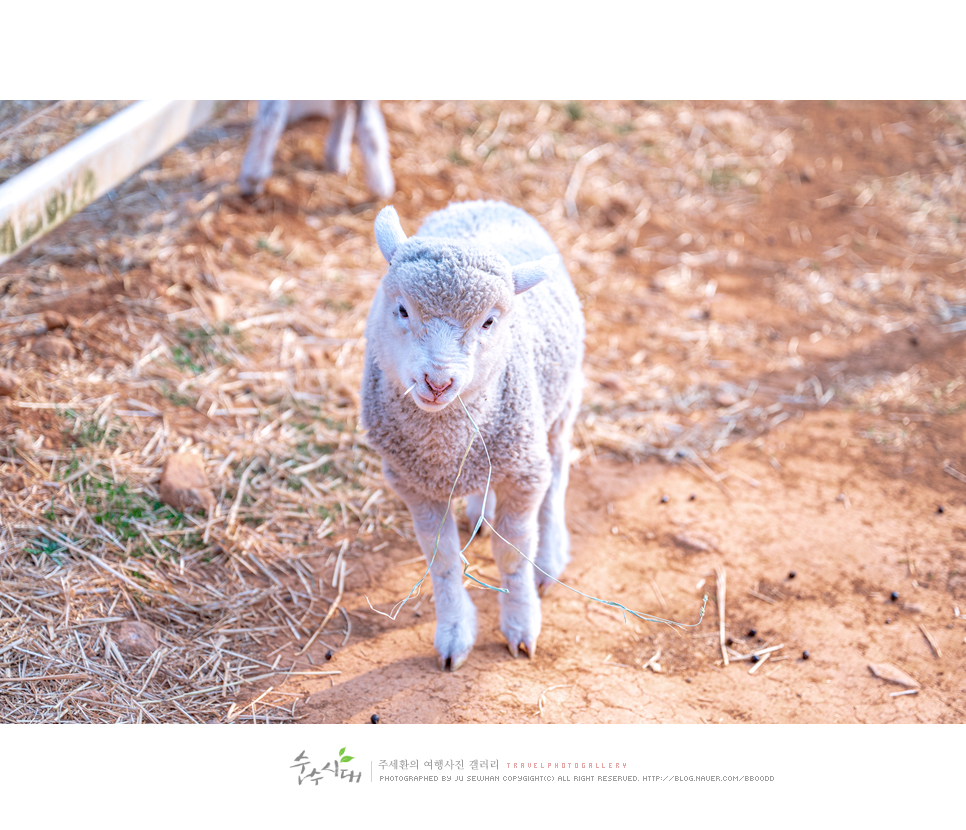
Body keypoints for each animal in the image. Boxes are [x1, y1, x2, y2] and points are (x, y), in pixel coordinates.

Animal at [362, 200, 588, 668]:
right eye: (403, 310)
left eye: (488, 322)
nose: (438, 382)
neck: (443, 445)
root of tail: (484, 203)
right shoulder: (414, 483)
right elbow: (443, 558)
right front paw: (454, 632)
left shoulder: (524, 472)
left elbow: (513, 554)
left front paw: (521, 624)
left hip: (558, 408)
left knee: (557, 475)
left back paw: (550, 556)